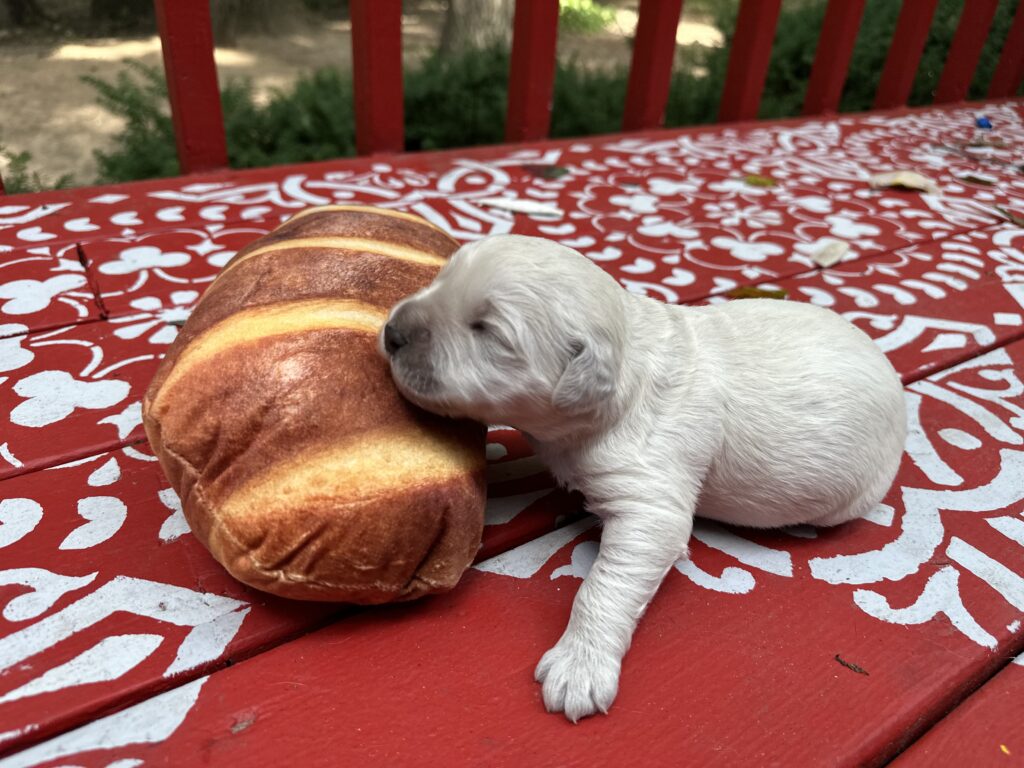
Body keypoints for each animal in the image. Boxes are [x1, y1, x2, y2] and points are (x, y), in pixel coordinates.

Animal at [380, 234, 907, 722]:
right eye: (443, 278)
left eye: (487, 331)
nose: (391, 332)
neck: (624, 360)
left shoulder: (650, 503)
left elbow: (603, 585)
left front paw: (579, 668)